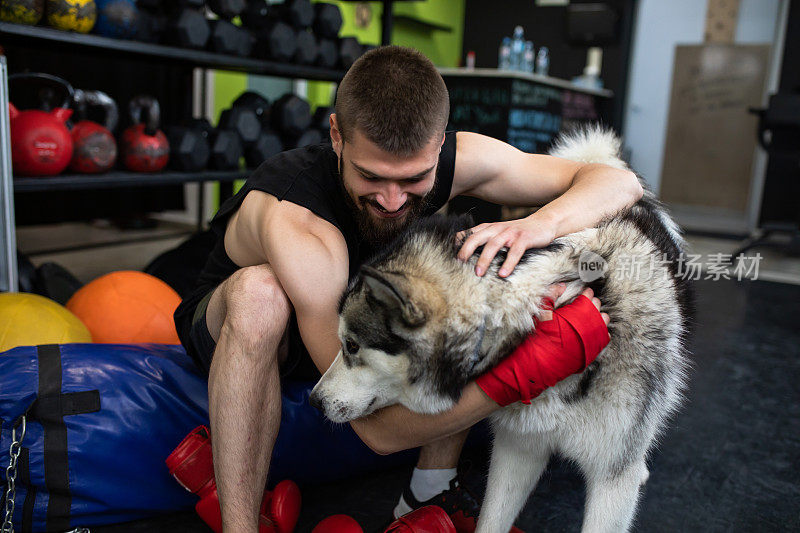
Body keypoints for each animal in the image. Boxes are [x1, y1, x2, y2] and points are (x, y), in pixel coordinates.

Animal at [310, 129, 692, 532]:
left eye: (352, 346)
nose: (313, 401)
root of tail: (602, 164)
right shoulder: (517, 449)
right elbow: (492, 520)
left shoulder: (613, 478)